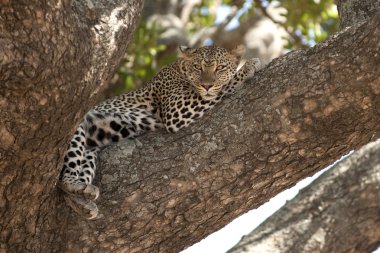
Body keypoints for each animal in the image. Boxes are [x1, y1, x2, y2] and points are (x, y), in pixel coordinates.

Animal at [58, 44, 262, 218]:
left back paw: (82, 200)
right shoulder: (176, 109)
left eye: (220, 68)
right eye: (198, 67)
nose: (207, 85)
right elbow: (221, 89)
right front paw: (249, 67)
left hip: (90, 149)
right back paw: (74, 185)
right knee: (64, 177)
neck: (181, 69)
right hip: (75, 128)